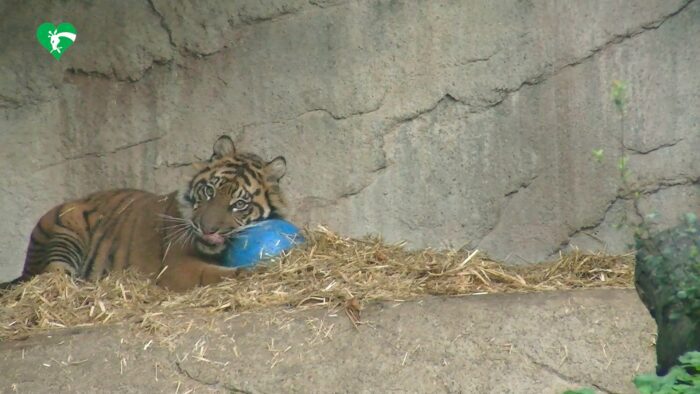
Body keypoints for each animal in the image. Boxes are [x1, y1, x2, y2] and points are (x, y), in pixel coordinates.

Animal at [15, 136, 286, 292]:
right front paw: (250, 271)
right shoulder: (176, 266)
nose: (207, 229)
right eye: (210, 191)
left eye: (239, 204)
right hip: (65, 230)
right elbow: (212, 272)